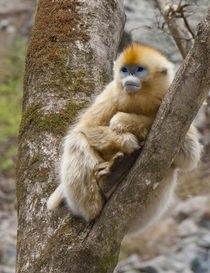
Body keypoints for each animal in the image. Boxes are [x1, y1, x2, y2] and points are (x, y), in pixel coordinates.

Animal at [48, 43, 202, 230]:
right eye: (125, 70)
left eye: (139, 70)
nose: (129, 77)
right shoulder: (111, 94)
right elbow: (84, 128)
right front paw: (127, 141)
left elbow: (190, 155)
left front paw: (125, 120)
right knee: (76, 140)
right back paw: (97, 203)